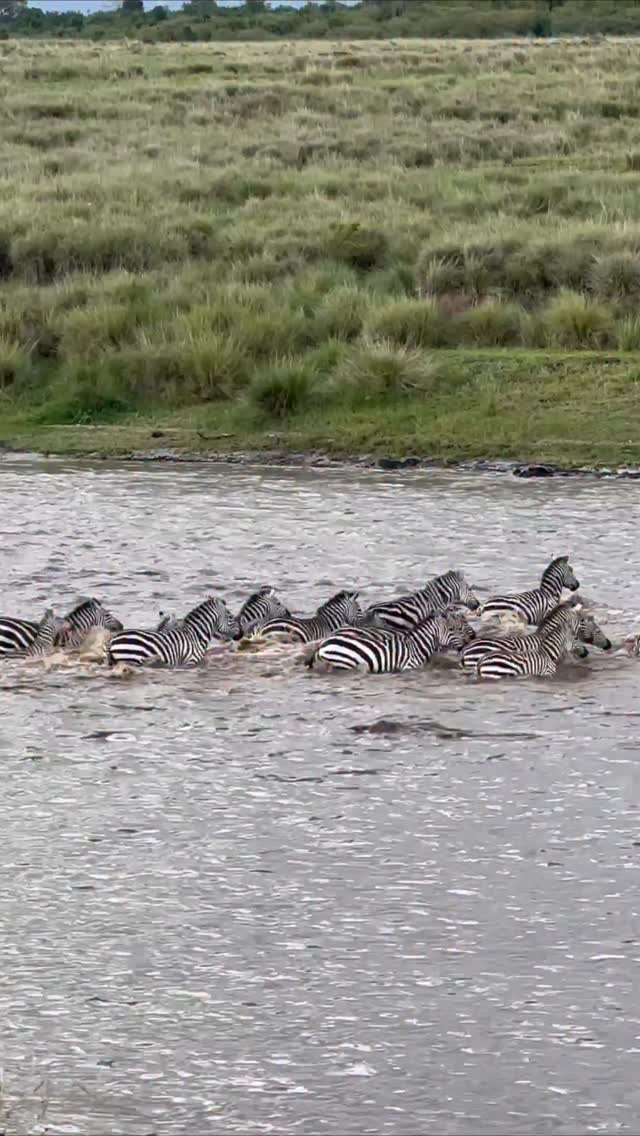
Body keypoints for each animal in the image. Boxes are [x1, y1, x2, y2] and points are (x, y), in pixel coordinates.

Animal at [305, 609, 475, 673]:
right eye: (454, 629)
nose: (471, 639)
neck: (417, 646)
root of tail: (324, 644)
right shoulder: (409, 667)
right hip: (344, 663)